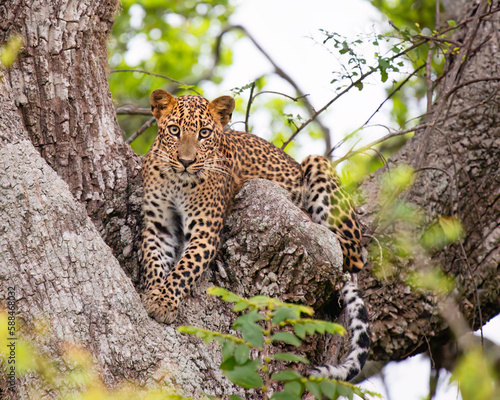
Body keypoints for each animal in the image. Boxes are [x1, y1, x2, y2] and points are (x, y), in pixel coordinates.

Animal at [139, 90, 370, 382]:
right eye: (174, 130)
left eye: (204, 133)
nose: (186, 162)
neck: (177, 181)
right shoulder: (159, 226)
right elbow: (152, 261)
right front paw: (152, 293)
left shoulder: (205, 231)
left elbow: (185, 268)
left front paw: (164, 302)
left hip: (317, 166)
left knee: (352, 255)